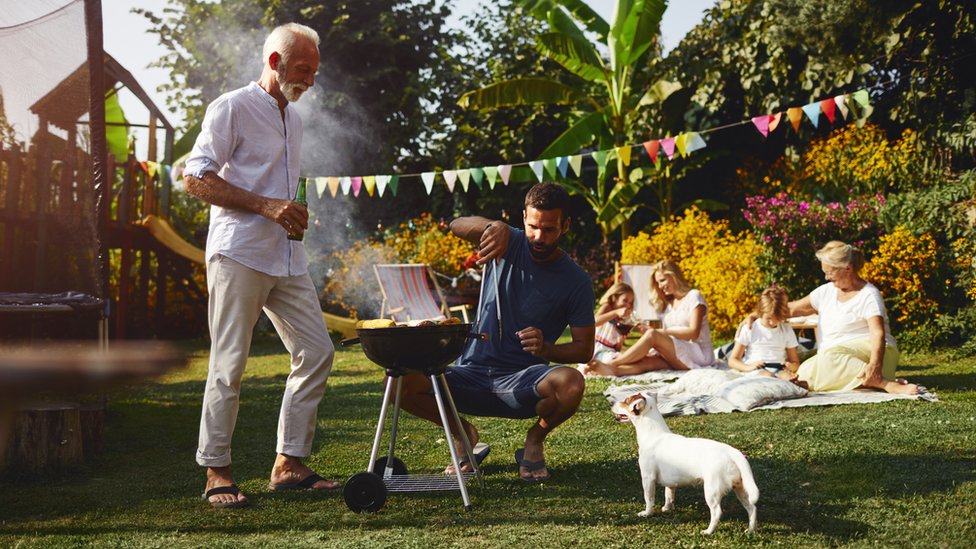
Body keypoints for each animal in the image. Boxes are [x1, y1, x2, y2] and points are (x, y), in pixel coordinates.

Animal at [612, 392, 760, 532]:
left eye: (626, 401)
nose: (611, 404)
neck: (653, 434)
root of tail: (732, 452)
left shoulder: (648, 478)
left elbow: (649, 498)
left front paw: (647, 513)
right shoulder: (670, 482)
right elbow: (669, 495)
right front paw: (667, 508)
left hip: (712, 490)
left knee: (717, 512)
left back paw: (708, 531)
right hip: (741, 488)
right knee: (751, 508)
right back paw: (750, 530)